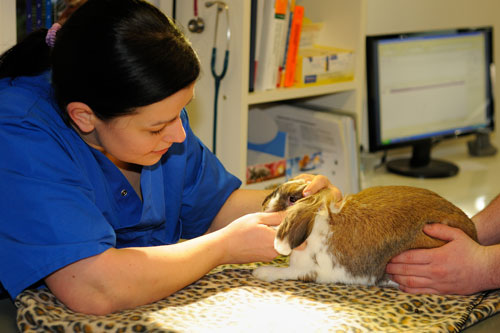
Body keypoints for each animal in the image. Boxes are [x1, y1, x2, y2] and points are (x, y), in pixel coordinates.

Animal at [252, 179, 478, 286]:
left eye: (292, 199)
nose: (263, 204)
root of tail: (473, 234)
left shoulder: (310, 270)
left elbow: (285, 272)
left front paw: (261, 272)